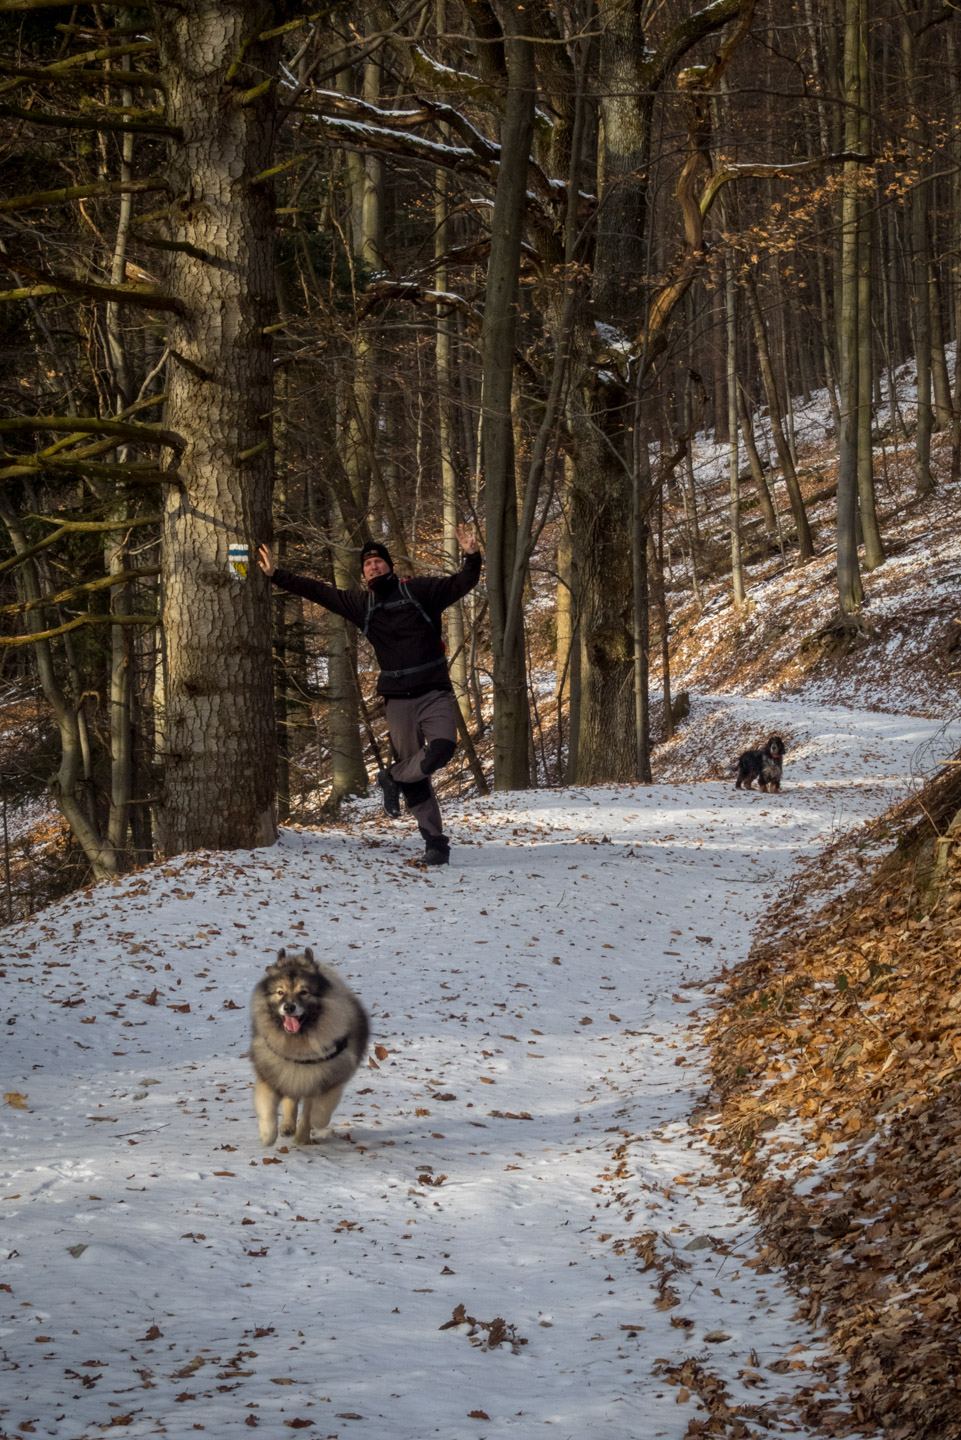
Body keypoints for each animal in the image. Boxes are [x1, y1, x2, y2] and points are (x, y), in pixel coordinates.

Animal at [247, 944, 368, 1146]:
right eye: (280, 992)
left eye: (303, 992)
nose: (289, 1007)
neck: (298, 1043)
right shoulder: (274, 1073)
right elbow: (268, 1109)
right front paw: (267, 1135)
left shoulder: (325, 1080)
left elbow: (316, 1113)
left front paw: (308, 1131)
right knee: (290, 1101)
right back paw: (287, 1126)